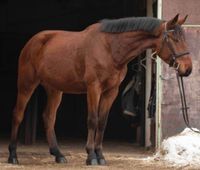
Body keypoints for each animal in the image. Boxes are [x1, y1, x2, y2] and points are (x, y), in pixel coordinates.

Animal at [7, 13, 192, 165]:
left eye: (184, 38)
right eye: (174, 39)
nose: (187, 69)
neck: (110, 48)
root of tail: (33, 41)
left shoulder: (111, 91)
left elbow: (102, 122)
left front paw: (100, 156)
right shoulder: (93, 88)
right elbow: (93, 120)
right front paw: (91, 156)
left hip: (55, 89)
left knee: (49, 117)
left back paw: (58, 155)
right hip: (26, 84)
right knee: (17, 114)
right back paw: (13, 156)